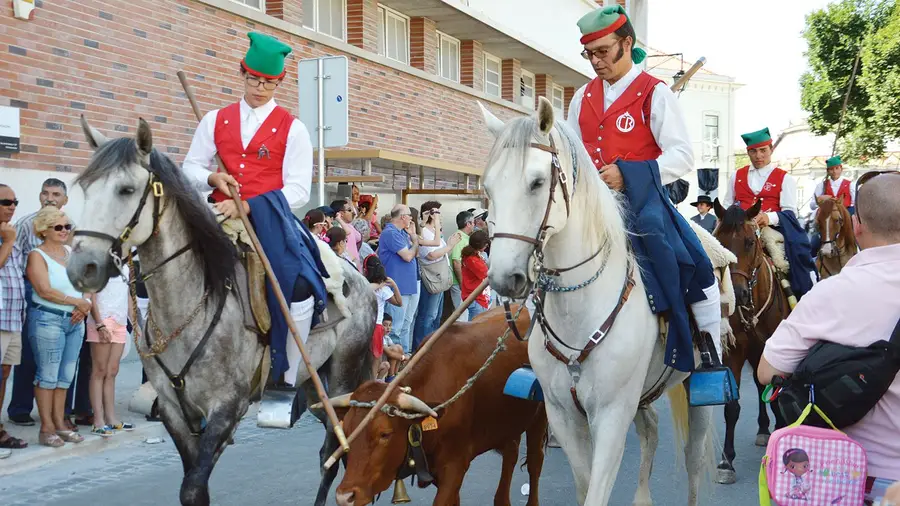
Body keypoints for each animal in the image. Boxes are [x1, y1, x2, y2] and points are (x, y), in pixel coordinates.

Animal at [67, 116, 374, 504]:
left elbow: (194, 486)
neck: (192, 302)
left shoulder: (226, 408)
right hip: (312, 385)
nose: (82, 268)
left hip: (341, 381)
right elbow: (195, 486)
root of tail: (362, 281)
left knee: (333, 451)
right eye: (85, 188)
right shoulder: (175, 412)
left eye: (125, 189)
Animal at [328, 304, 540, 506]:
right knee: (511, 453)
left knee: (534, 462)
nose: (344, 496)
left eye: (384, 434)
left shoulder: (455, 466)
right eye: (346, 432)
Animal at [482, 97, 712, 504]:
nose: (504, 279)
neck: (580, 313)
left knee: (694, 459)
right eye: (489, 189)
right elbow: (584, 485)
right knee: (651, 430)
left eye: (537, 183)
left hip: (696, 389)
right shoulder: (563, 415)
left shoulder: (611, 414)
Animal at [712, 197, 792, 482]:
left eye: (749, 242)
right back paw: (763, 428)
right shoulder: (735, 353)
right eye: (719, 242)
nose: (737, 294)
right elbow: (732, 407)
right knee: (759, 386)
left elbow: (776, 393)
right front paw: (726, 461)